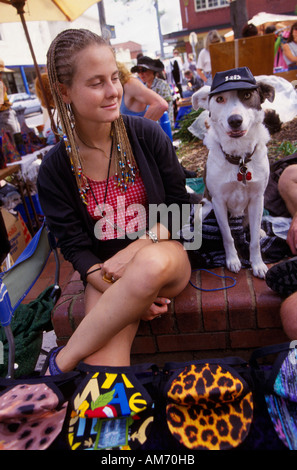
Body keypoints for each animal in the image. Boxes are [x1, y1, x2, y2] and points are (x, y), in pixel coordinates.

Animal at [191, 67, 274, 280]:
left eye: (247, 95)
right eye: (220, 99)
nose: (235, 120)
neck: (239, 159)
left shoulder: (257, 198)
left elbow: (253, 241)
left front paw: (257, 264)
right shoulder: (219, 202)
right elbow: (227, 236)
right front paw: (233, 260)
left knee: (253, 227)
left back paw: (261, 232)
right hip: (205, 208)